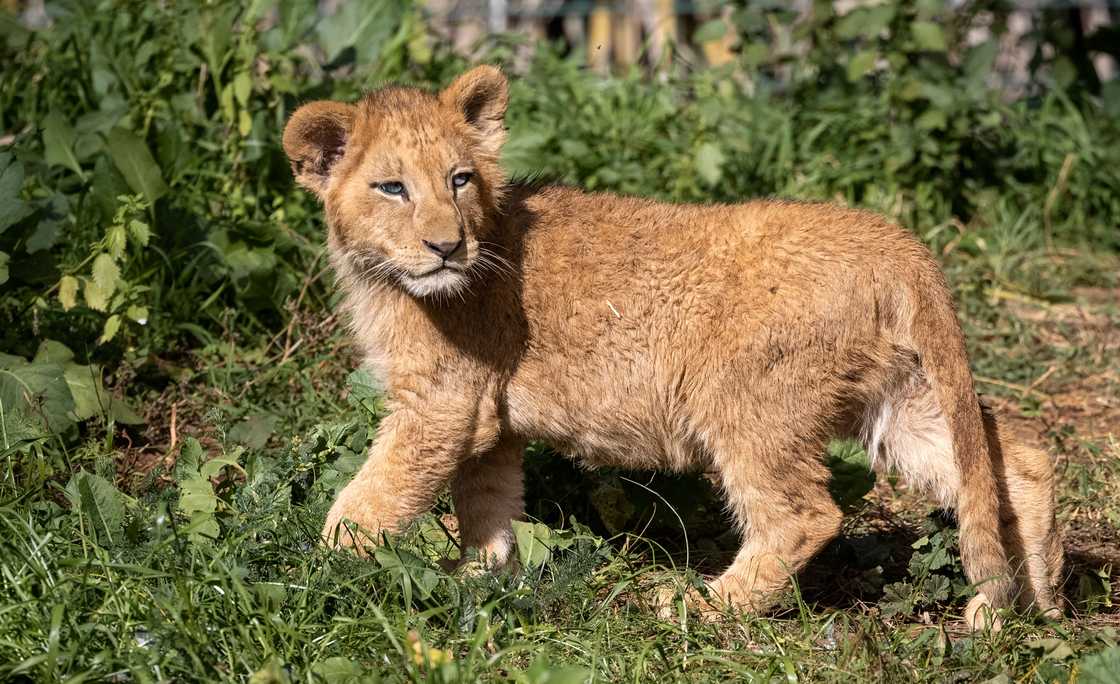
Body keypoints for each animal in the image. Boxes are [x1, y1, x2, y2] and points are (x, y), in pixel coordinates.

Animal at [282, 65, 1062, 629]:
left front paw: (314, 575)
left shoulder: (442, 406)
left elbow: (368, 503)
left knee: (802, 514)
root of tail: (899, 244)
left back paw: (699, 607)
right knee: (1012, 458)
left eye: (459, 179)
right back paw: (1025, 601)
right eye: (391, 187)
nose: (447, 246)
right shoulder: (487, 419)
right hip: (896, 396)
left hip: (749, 400)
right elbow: (488, 505)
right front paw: (481, 582)